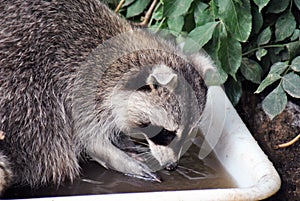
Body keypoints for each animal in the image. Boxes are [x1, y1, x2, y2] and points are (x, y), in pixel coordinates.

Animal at [0, 0, 216, 192]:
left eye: (189, 133)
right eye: (166, 132)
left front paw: (123, 140)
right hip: (22, 88)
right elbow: (88, 138)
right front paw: (117, 157)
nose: (172, 166)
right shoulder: (81, 86)